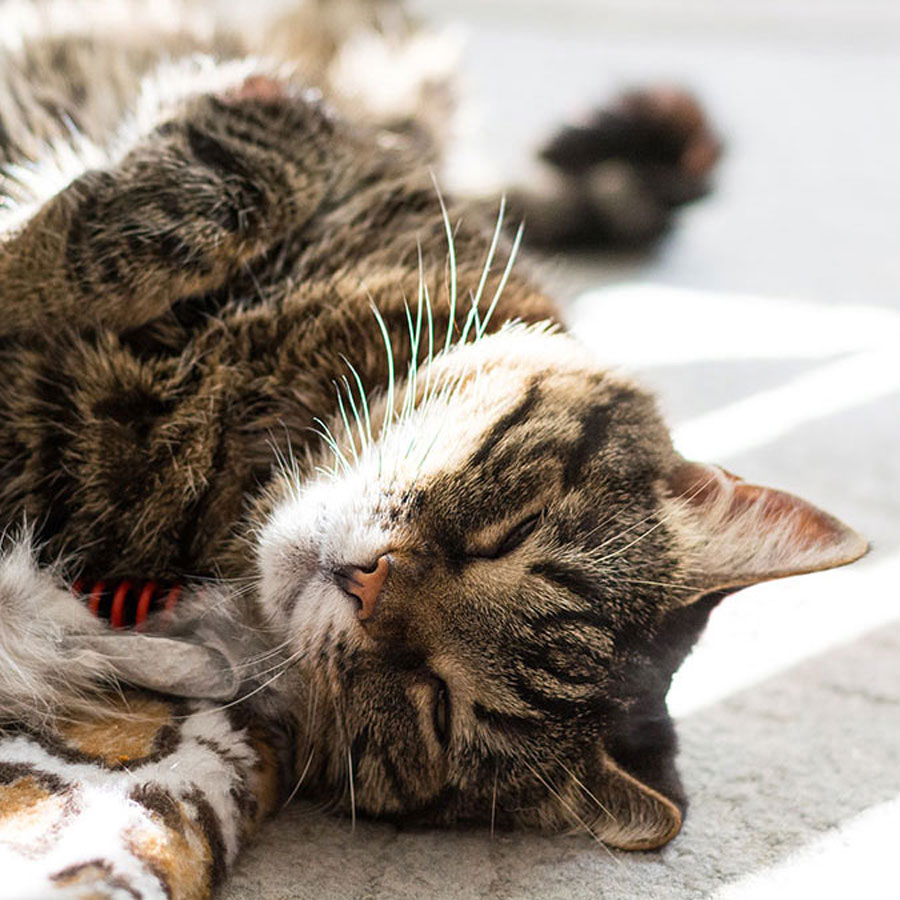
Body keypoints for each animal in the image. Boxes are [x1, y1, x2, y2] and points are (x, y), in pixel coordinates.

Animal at [0, 0, 868, 872]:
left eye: (438, 705)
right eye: (507, 537)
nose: (366, 583)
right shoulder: (307, 138)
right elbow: (204, 198)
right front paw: (23, 265)